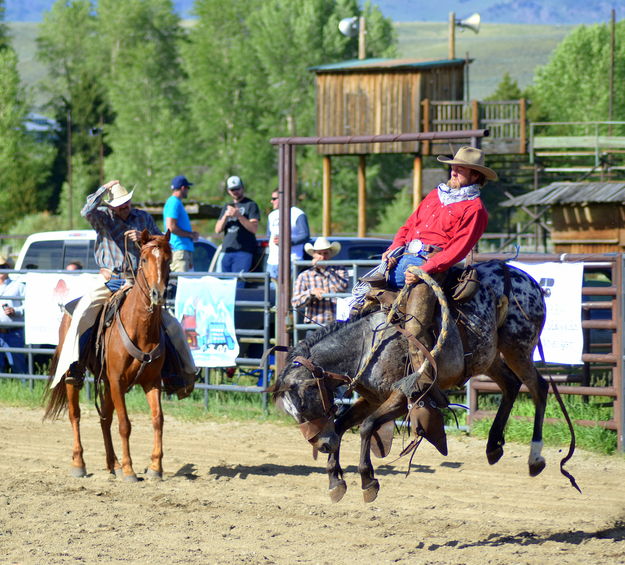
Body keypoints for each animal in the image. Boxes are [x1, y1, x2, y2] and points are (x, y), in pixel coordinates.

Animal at [43, 229, 172, 480]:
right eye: (144, 260)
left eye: (168, 259)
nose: (158, 294)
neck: (139, 327)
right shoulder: (117, 380)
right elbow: (125, 424)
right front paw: (130, 470)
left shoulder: (151, 381)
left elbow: (157, 420)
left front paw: (155, 468)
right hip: (75, 376)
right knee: (75, 415)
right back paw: (79, 464)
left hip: (107, 382)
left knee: (104, 419)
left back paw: (114, 464)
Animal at [272, 260, 580, 502]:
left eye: (304, 403)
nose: (321, 445)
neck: (366, 344)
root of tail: (528, 280)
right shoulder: (371, 398)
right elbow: (339, 424)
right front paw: (336, 481)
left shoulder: (402, 397)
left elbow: (366, 426)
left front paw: (368, 480)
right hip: (489, 356)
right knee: (511, 385)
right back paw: (493, 445)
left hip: (517, 347)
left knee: (539, 387)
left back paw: (535, 457)